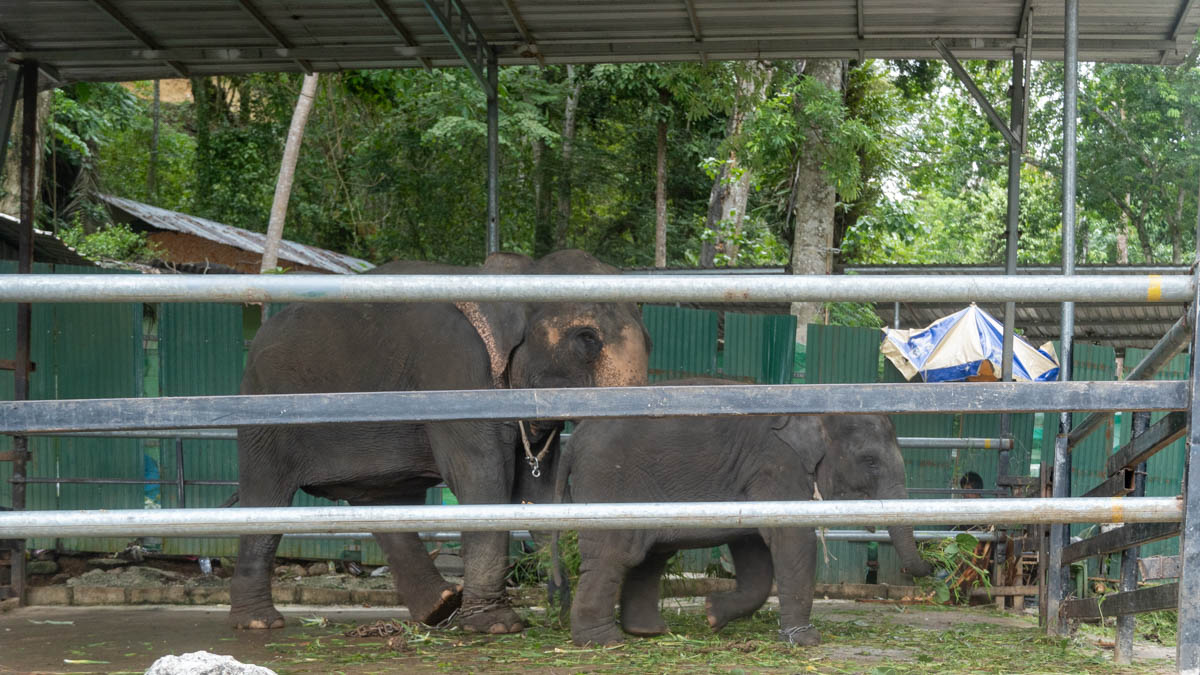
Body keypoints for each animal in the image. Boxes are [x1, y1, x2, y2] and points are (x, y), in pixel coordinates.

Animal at [228, 247, 652, 629]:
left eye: (650, 340)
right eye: (587, 339)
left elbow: (539, 492)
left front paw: (558, 615)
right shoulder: (454, 372)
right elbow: (482, 477)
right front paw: (497, 626)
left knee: (382, 503)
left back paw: (440, 608)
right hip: (265, 415)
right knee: (267, 499)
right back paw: (260, 623)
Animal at [556, 374, 931, 643]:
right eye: (870, 461)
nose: (933, 564)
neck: (814, 398)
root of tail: (573, 441)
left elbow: (754, 552)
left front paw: (712, 616)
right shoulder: (776, 464)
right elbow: (791, 539)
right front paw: (806, 641)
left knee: (651, 554)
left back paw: (648, 632)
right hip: (609, 481)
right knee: (616, 553)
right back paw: (604, 642)